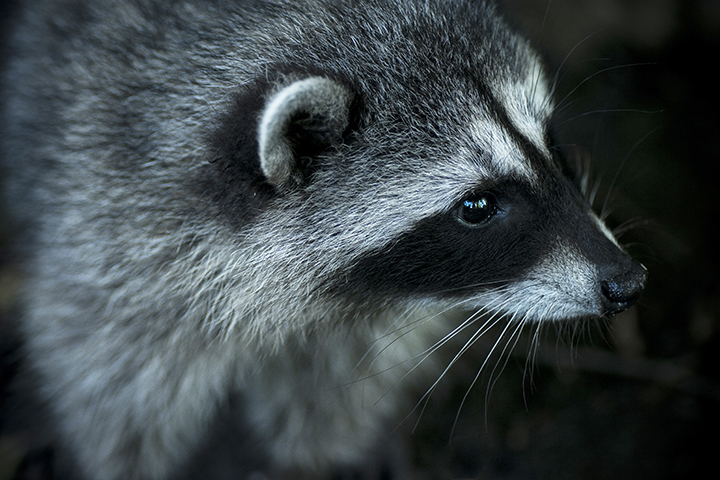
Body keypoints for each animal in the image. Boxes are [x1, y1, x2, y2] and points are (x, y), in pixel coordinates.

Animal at [0, 0, 647, 478]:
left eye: (551, 145)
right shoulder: (114, 227)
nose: (627, 281)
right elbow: (108, 390)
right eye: (478, 205)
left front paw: (318, 457)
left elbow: (334, 381)